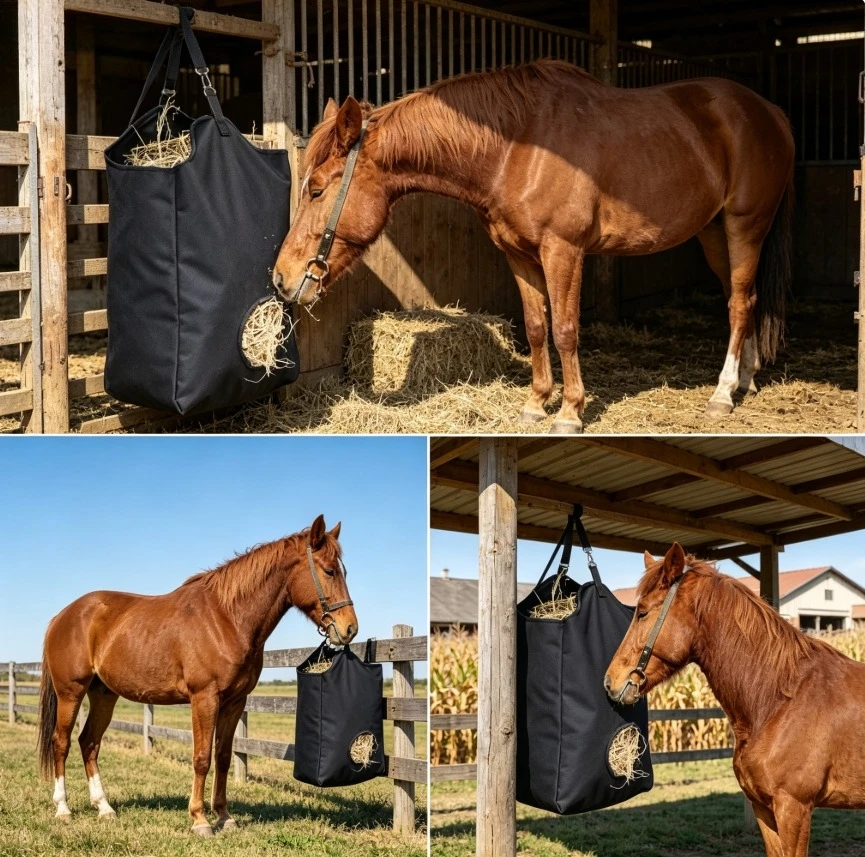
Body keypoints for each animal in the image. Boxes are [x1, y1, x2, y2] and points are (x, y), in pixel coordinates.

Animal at [36, 515, 356, 836]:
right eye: (329, 571)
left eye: (343, 571)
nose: (350, 628)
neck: (226, 618)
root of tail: (62, 616)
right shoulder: (204, 698)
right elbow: (202, 758)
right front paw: (200, 820)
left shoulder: (235, 702)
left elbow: (224, 757)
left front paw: (224, 816)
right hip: (71, 692)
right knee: (61, 742)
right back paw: (63, 809)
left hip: (103, 695)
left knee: (89, 742)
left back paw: (104, 808)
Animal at [272, 60, 794, 434]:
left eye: (316, 190)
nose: (282, 278)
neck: (514, 147)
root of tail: (772, 113)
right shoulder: (519, 254)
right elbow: (537, 327)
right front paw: (535, 403)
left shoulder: (563, 251)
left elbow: (565, 329)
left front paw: (570, 411)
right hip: (713, 233)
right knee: (744, 299)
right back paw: (746, 379)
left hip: (745, 226)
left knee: (739, 304)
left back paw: (722, 394)